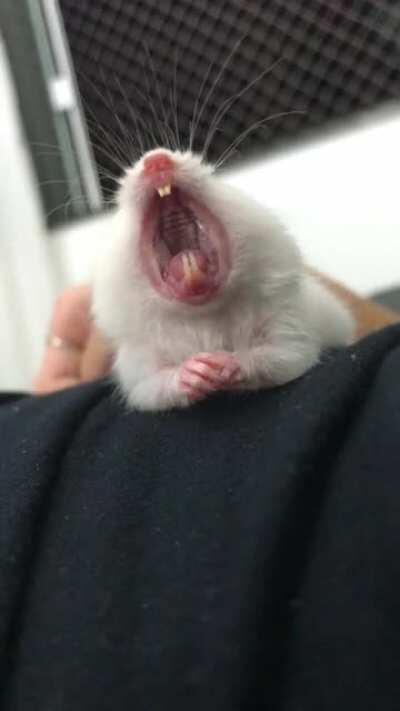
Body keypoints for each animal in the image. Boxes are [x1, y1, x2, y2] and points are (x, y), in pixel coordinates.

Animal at [92, 148, 354, 411]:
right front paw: (196, 370)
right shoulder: (139, 369)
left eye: (208, 170)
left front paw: (222, 364)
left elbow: (279, 357)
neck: (203, 312)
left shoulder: (290, 332)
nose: (156, 159)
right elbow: (154, 388)